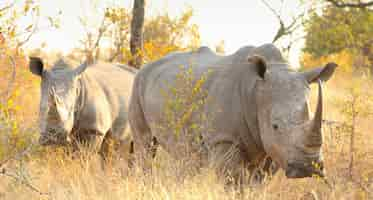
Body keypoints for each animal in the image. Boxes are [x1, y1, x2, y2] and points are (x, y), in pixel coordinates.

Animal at [129, 44, 338, 181]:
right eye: (275, 126)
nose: (308, 167)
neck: (255, 92)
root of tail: (146, 65)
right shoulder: (224, 138)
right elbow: (233, 180)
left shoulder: (274, 146)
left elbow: (258, 182)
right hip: (138, 83)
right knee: (145, 145)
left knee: (187, 155)